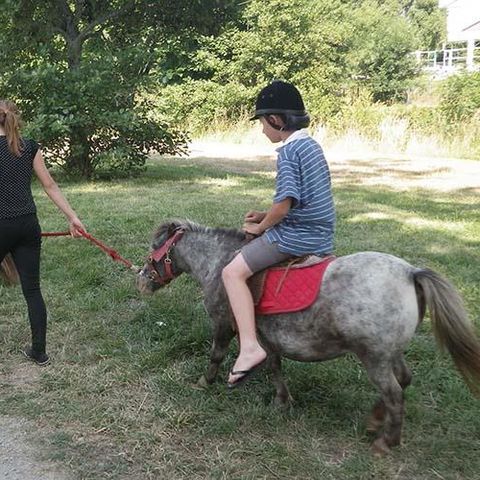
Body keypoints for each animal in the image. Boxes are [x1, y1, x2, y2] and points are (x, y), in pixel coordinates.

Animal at [136, 219, 480, 455]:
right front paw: (282, 401)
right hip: (390, 353)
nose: (141, 280)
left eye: (155, 249)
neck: (219, 261)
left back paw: (386, 441)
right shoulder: (266, 338)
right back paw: (374, 420)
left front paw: (204, 383)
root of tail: (411, 273)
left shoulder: (223, 323)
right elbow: (274, 367)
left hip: (374, 357)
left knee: (395, 392)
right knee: (404, 379)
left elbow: (217, 354)